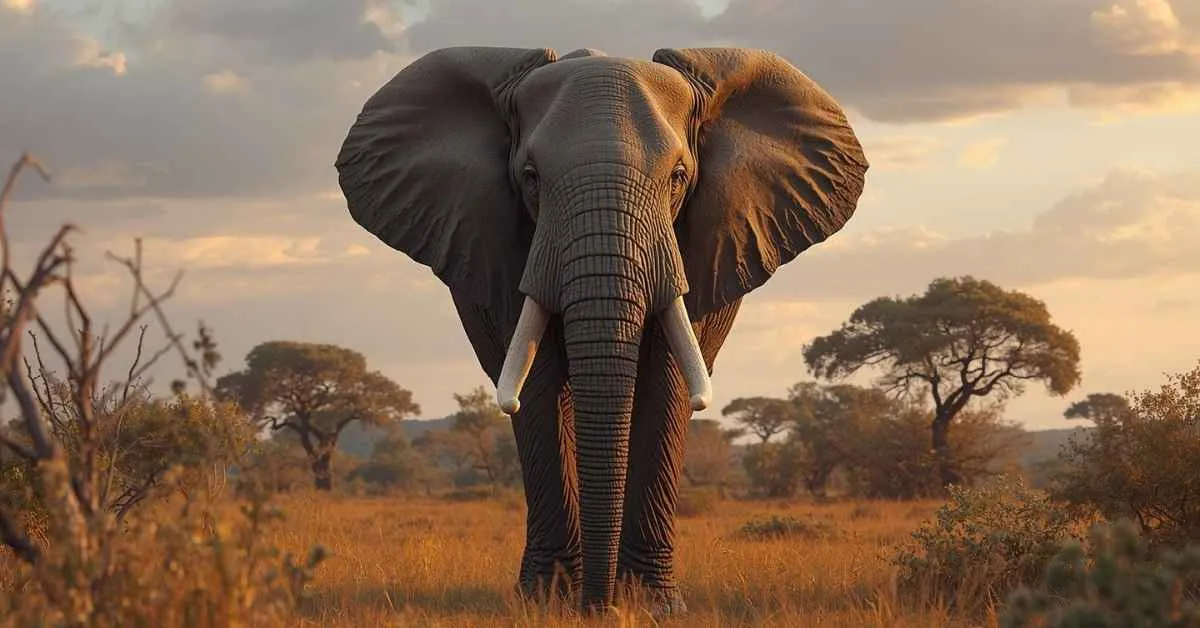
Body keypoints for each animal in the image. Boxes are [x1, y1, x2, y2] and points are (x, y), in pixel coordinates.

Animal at [334, 46, 869, 613]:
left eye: (679, 176)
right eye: (530, 178)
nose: (600, 606)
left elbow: (667, 379)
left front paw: (654, 606)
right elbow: (539, 380)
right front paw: (545, 602)